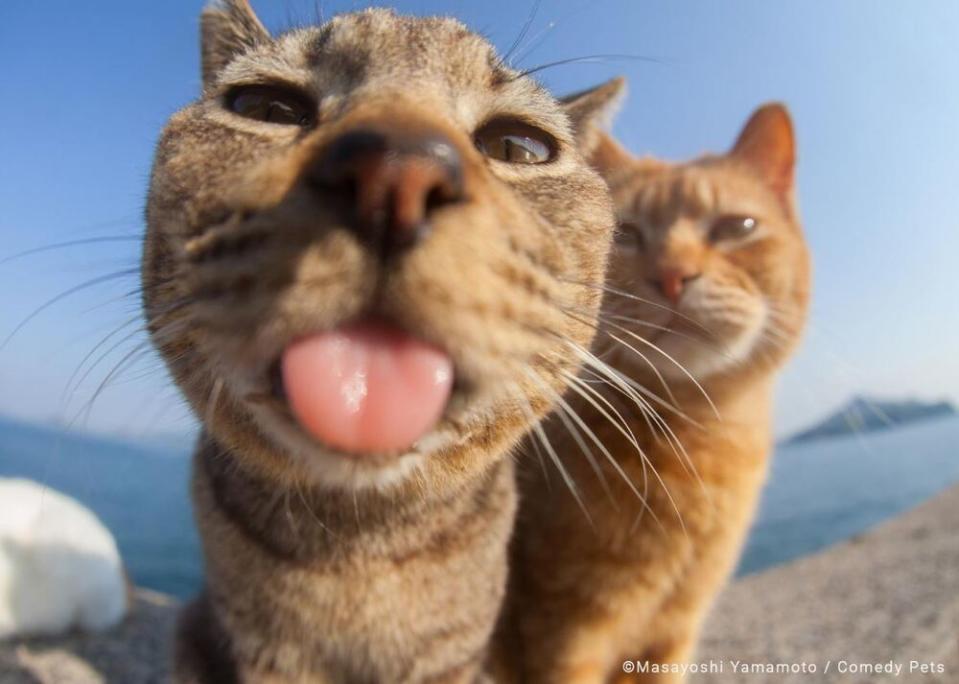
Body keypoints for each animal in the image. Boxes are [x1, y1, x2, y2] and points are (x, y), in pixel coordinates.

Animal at [141, 2, 624, 680]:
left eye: (519, 146)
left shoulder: (455, 655)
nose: (397, 169)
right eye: (267, 107)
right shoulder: (262, 650)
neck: (358, 549)